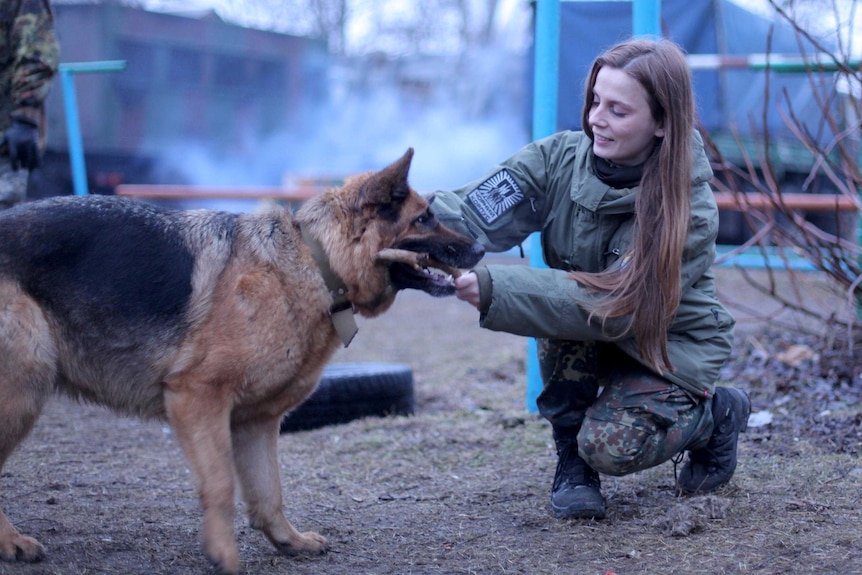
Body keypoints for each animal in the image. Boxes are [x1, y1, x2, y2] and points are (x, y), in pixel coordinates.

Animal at [0, 150, 486, 575]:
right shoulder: (197, 399)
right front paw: (223, 554)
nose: (481, 248)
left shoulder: (256, 421)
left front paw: (288, 541)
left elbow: (269, 492)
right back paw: (11, 542)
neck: (313, 262)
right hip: (25, 390)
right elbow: (220, 483)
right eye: (424, 218)